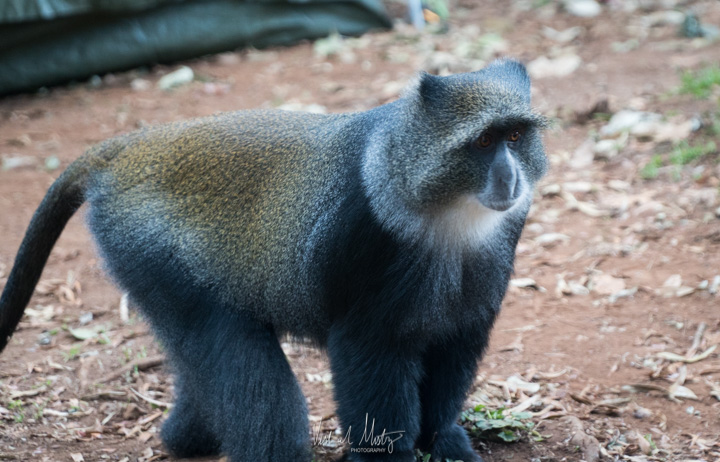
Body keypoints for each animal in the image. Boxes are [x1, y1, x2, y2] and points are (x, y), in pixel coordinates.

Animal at [0, 58, 547, 462]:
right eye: (483, 141)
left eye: (515, 137)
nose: (510, 177)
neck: (442, 210)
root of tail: (130, 151)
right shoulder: (364, 257)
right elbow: (366, 355)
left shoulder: (480, 287)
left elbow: (455, 346)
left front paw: (444, 440)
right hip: (148, 251)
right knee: (231, 347)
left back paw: (185, 437)